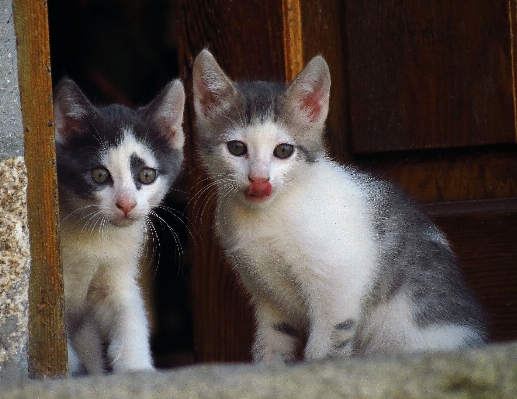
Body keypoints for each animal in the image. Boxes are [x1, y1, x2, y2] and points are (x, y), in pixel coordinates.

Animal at [52, 78, 184, 376]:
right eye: (100, 175)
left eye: (146, 175)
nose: (126, 204)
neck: (95, 237)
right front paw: (70, 365)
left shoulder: (117, 275)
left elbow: (129, 314)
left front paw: (137, 367)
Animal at [191, 49, 486, 362]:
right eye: (236, 148)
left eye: (283, 151)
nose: (259, 180)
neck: (266, 216)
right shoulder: (267, 296)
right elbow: (271, 346)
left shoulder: (339, 286)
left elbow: (324, 347)